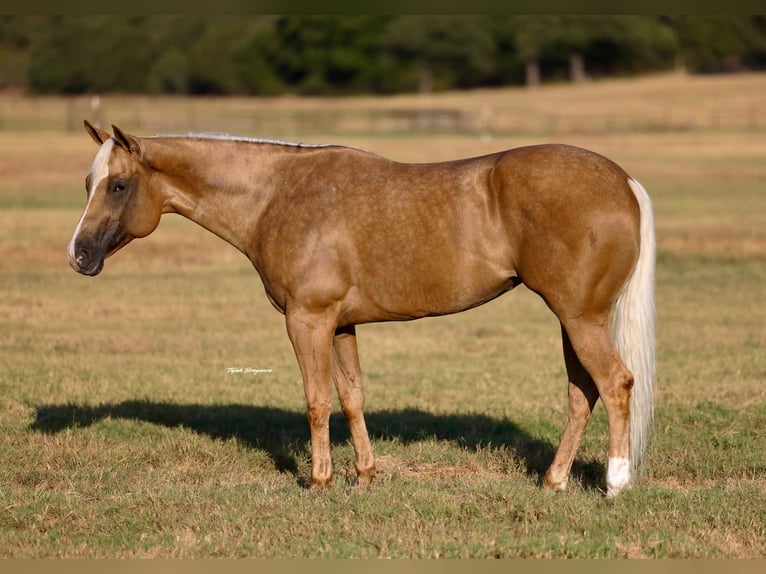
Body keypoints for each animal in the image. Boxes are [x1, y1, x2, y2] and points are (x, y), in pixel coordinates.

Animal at [68, 121, 655, 496]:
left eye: (118, 185)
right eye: (88, 183)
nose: (78, 255)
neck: (277, 195)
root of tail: (625, 182)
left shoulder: (307, 319)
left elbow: (316, 401)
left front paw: (320, 480)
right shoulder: (341, 324)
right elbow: (351, 398)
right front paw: (364, 475)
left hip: (579, 318)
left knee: (615, 384)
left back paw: (615, 483)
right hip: (571, 320)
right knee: (582, 394)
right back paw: (554, 482)